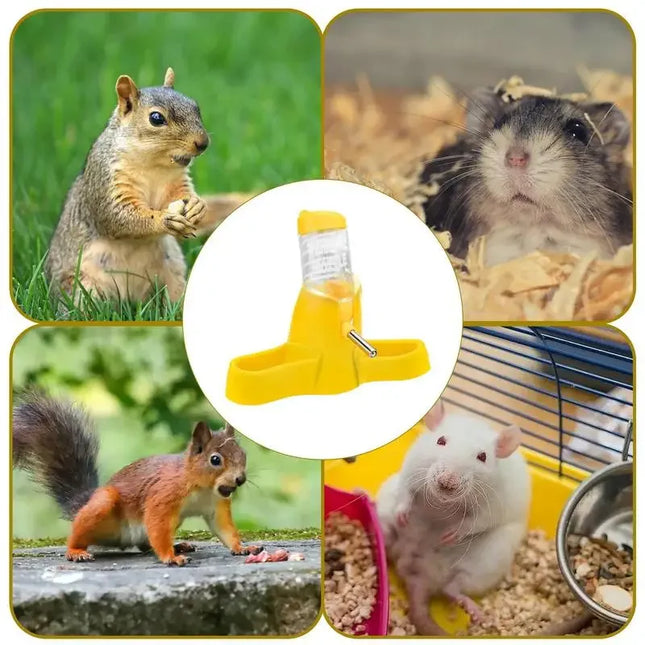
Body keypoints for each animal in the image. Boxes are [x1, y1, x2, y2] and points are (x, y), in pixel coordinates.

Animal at [376, 400, 531, 635]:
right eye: (441, 441)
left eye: (482, 456)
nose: (447, 481)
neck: (442, 503)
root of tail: (418, 578)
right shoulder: (410, 470)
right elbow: (405, 490)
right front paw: (403, 512)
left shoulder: (492, 504)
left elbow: (477, 522)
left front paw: (451, 534)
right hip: (386, 507)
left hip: (488, 561)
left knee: (453, 589)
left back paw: (471, 608)